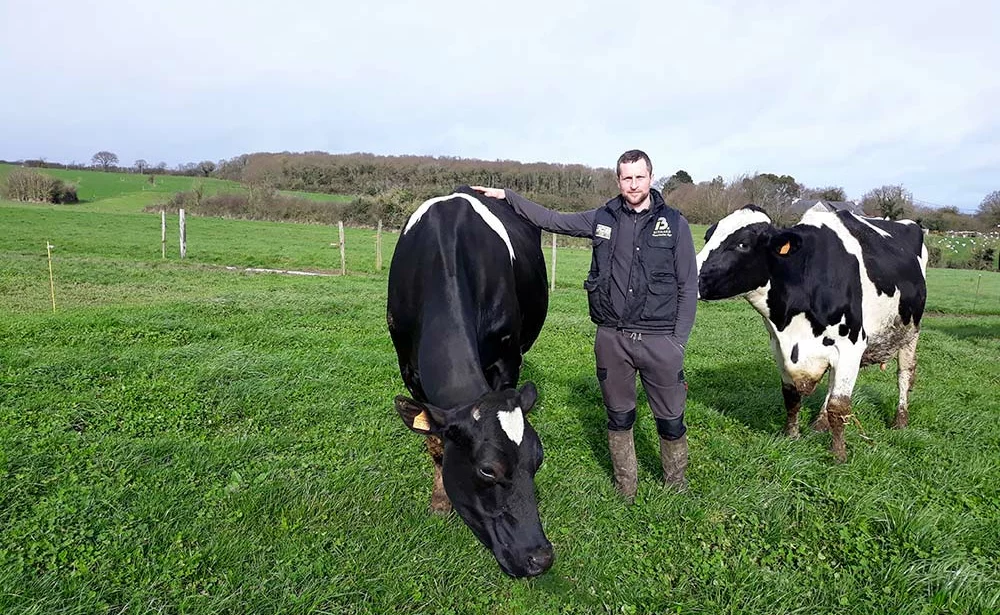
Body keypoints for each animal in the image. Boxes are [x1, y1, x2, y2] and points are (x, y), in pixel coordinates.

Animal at [384, 185, 556, 580]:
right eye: (487, 470)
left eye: (537, 460)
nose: (540, 558)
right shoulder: (408, 368)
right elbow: (434, 441)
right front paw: (439, 501)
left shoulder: (508, 360)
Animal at [700, 206, 924, 462]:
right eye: (707, 237)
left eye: (742, 244)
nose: (693, 277)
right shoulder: (779, 346)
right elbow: (791, 396)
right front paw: (791, 435)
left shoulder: (851, 346)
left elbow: (839, 406)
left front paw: (838, 455)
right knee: (831, 381)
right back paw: (820, 422)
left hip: (911, 332)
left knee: (904, 375)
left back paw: (900, 420)